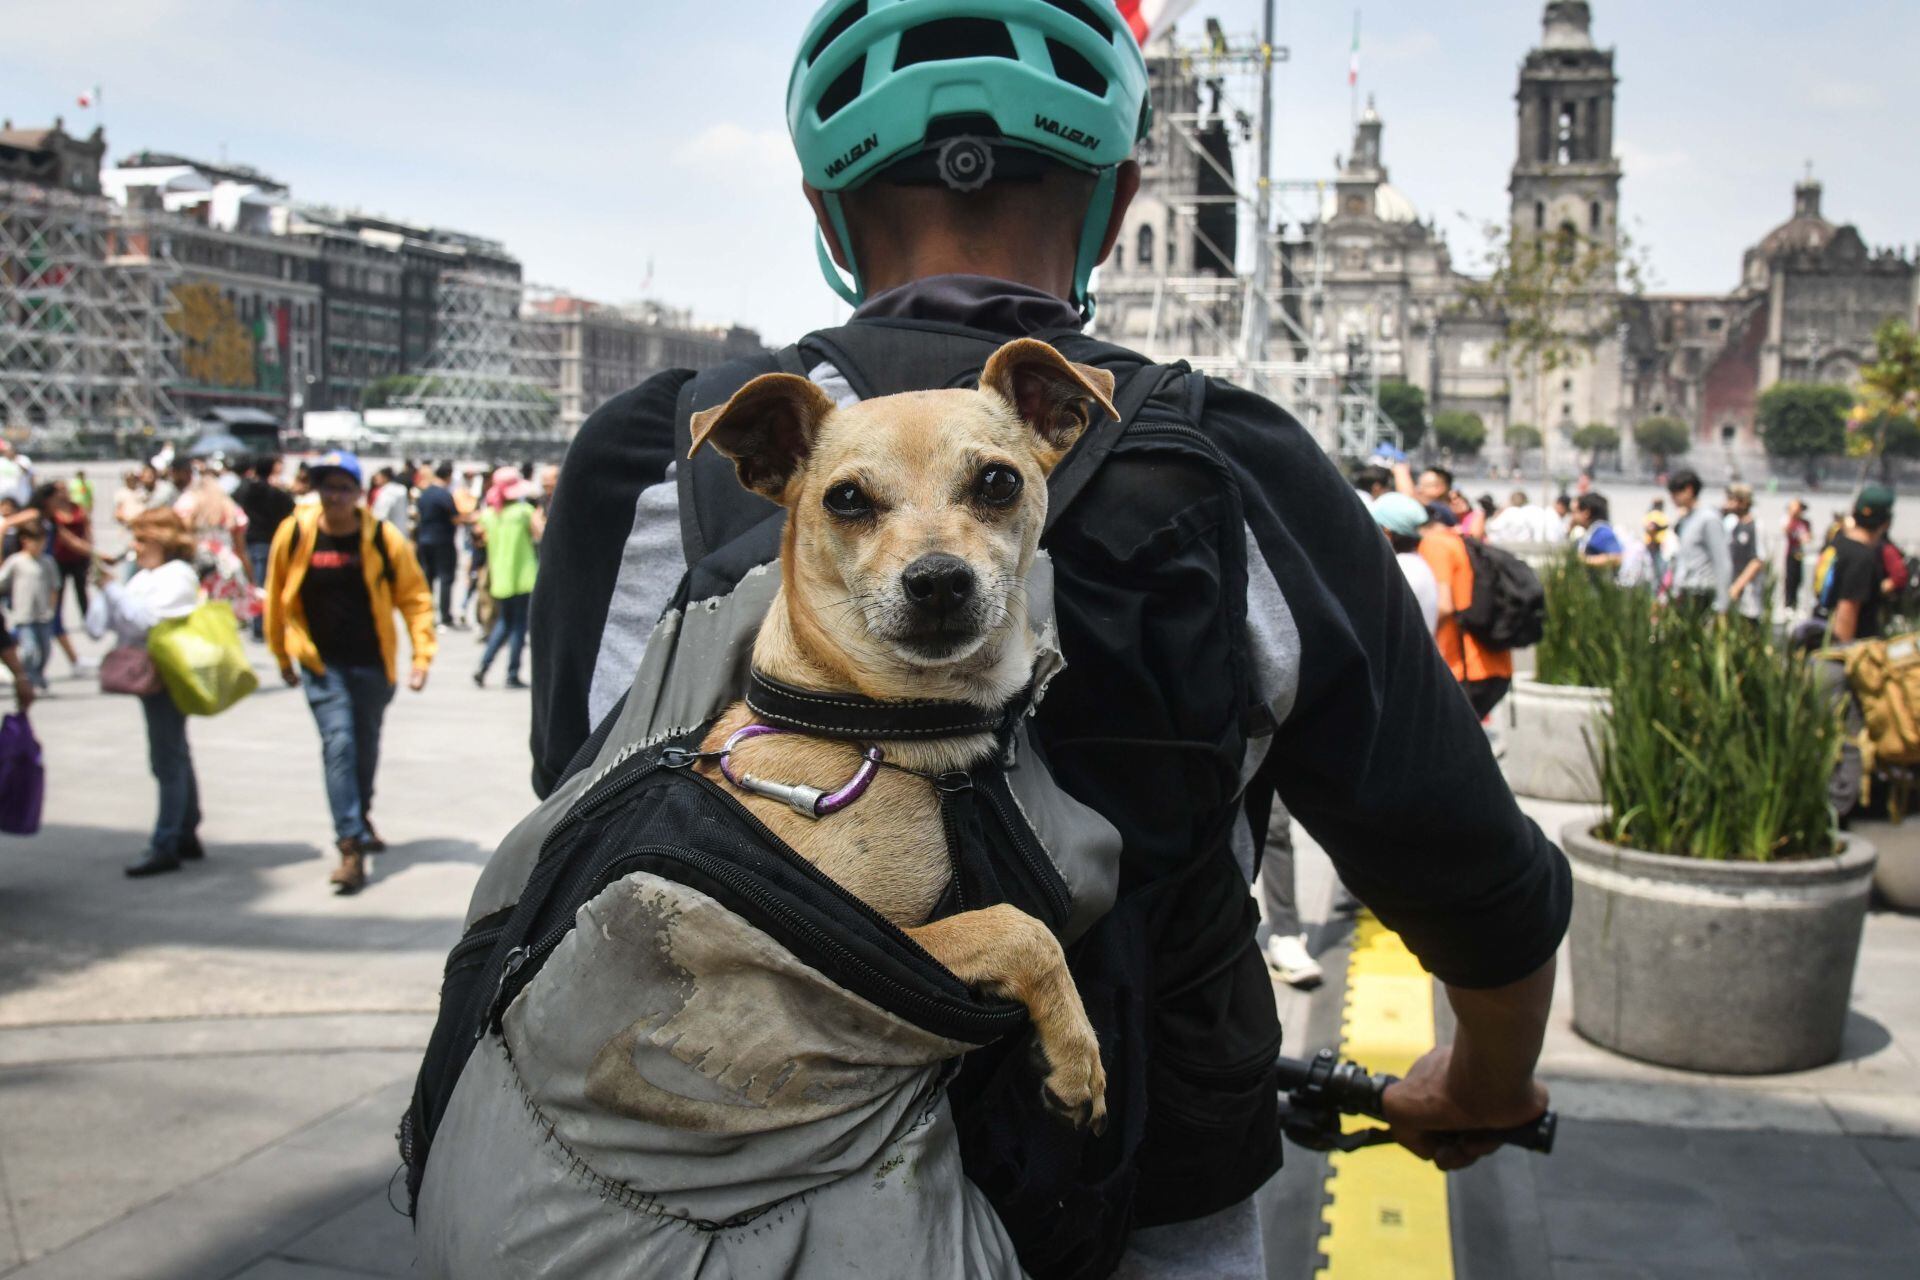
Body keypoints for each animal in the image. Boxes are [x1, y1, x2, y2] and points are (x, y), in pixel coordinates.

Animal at [683, 337, 1121, 1128]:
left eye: (999, 482)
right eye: (847, 499)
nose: (939, 578)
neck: (890, 734)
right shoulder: (871, 939)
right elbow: (1022, 930)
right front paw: (1076, 1058)